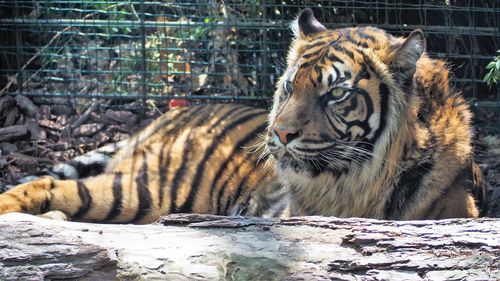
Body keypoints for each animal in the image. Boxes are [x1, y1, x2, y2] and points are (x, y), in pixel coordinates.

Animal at [0, 8, 486, 221]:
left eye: (335, 95)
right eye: (290, 86)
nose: (282, 134)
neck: (358, 185)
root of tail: (163, 120)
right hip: (146, 189)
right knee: (49, 185)